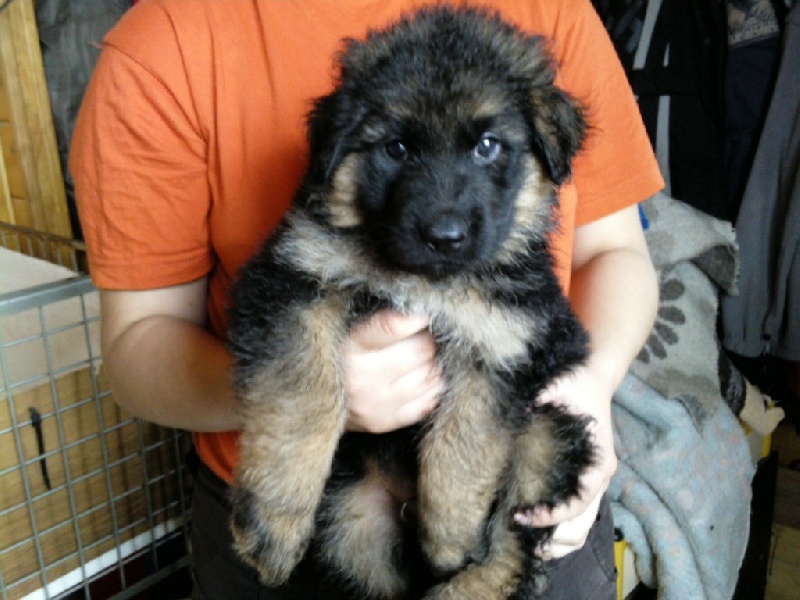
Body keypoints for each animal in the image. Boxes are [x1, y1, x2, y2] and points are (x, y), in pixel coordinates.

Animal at [225, 5, 592, 600]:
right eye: (396, 148)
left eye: (487, 145)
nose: (444, 236)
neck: (426, 280)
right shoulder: (293, 283)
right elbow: (304, 395)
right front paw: (273, 525)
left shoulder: (508, 342)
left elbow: (465, 440)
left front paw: (450, 537)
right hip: (354, 521)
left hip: (546, 434)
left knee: (509, 544)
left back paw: (461, 578)